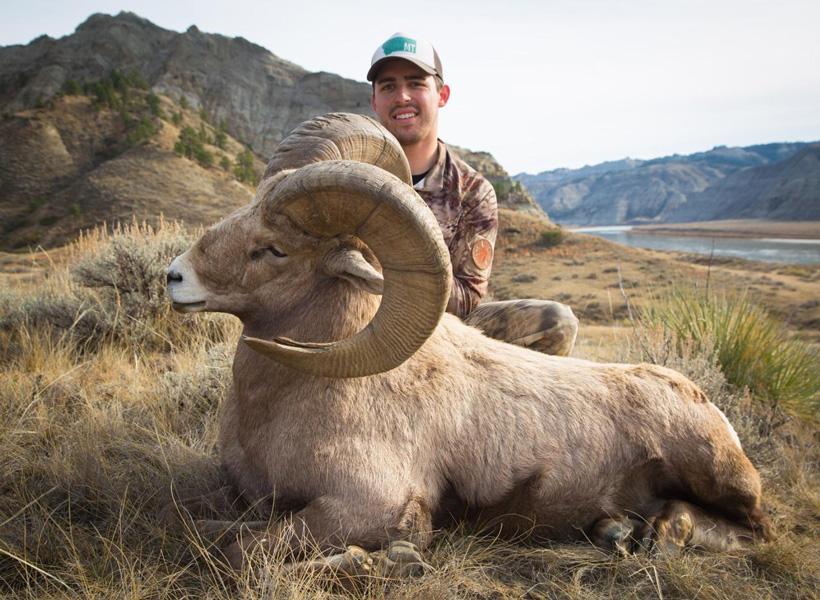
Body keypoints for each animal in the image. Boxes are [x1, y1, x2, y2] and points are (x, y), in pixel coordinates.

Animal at [166, 113, 771, 574]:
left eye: (273, 249)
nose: (174, 277)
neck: (282, 402)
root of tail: (711, 408)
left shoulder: (361, 505)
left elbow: (245, 551)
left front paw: (393, 559)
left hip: (717, 474)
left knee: (753, 530)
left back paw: (661, 536)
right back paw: (616, 530)